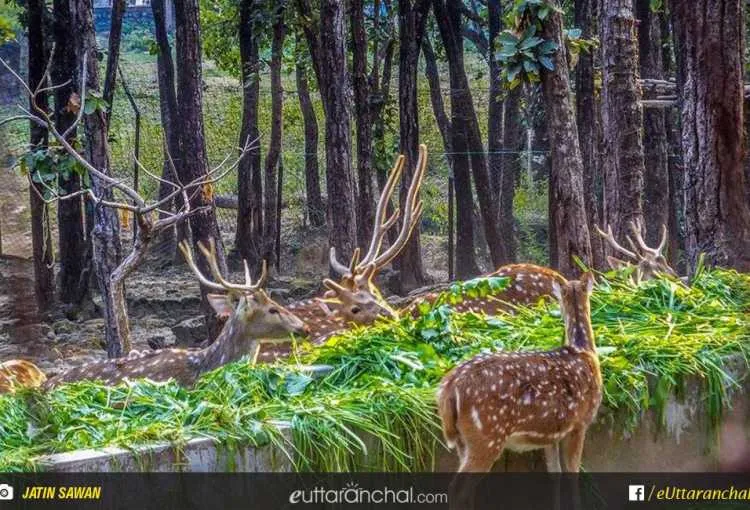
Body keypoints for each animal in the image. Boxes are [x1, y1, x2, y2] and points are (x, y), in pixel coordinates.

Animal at [437, 273, 601, 506]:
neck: (584, 351)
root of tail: (448, 388)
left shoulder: (551, 434)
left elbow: (556, 474)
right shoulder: (580, 422)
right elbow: (572, 473)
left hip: (463, 440)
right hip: (486, 436)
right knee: (458, 489)